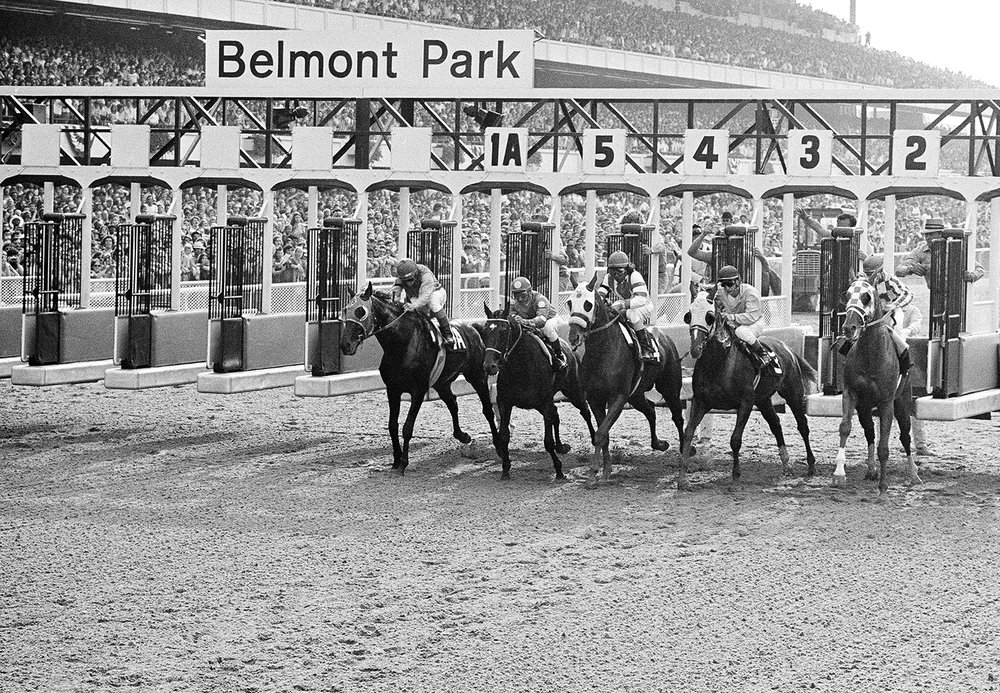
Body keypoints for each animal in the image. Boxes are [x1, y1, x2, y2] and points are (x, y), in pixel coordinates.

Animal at [340, 284, 500, 474]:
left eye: (360, 312)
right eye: (345, 310)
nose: (345, 345)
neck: (403, 343)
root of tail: (472, 327)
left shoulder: (418, 390)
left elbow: (407, 427)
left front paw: (403, 462)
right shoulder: (392, 389)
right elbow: (392, 425)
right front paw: (396, 459)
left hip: (477, 375)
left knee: (487, 410)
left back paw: (498, 445)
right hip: (442, 383)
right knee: (453, 403)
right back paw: (463, 436)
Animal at [482, 306, 596, 478]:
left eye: (503, 331)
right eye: (485, 331)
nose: (489, 366)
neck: (520, 365)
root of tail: (569, 349)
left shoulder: (545, 402)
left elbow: (547, 441)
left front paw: (559, 470)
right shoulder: (505, 402)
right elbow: (504, 437)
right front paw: (505, 468)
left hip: (573, 391)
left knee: (585, 411)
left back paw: (595, 439)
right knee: (556, 414)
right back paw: (561, 446)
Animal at [568, 274, 684, 482]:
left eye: (588, 304)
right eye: (569, 302)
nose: (574, 337)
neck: (603, 352)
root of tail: (665, 337)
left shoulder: (619, 398)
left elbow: (601, 433)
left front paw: (594, 472)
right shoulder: (595, 398)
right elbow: (603, 434)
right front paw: (604, 470)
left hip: (670, 388)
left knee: (677, 418)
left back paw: (685, 453)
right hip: (636, 395)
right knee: (651, 410)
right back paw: (659, 444)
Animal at [680, 290, 820, 490]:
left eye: (709, 316)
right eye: (689, 316)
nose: (695, 348)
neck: (718, 363)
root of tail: (788, 349)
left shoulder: (745, 403)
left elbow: (735, 439)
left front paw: (736, 476)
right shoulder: (700, 402)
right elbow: (688, 434)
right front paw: (682, 478)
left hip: (793, 394)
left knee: (803, 426)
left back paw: (811, 465)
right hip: (763, 400)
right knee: (776, 424)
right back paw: (786, 465)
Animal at [828, 276, 920, 492]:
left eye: (866, 296)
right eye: (847, 295)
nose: (849, 328)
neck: (872, 356)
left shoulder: (886, 403)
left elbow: (884, 447)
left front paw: (883, 486)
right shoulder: (851, 393)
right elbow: (845, 427)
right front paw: (839, 473)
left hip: (902, 403)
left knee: (905, 437)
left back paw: (913, 474)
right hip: (864, 407)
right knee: (869, 431)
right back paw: (871, 470)